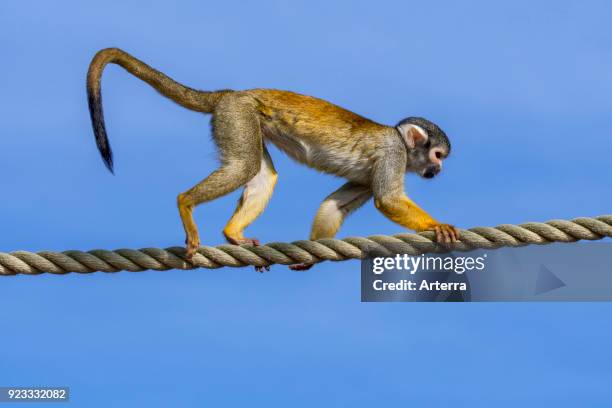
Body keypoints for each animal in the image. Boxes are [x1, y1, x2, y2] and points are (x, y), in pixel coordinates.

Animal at [87, 47, 460, 270]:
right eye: (437, 155)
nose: (439, 169)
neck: (401, 144)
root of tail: (229, 93)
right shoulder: (392, 154)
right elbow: (388, 200)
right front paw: (438, 225)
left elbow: (334, 205)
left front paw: (311, 256)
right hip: (237, 115)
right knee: (244, 166)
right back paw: (185, 204)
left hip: (242, 120)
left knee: (262, 173)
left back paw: (233, 233)